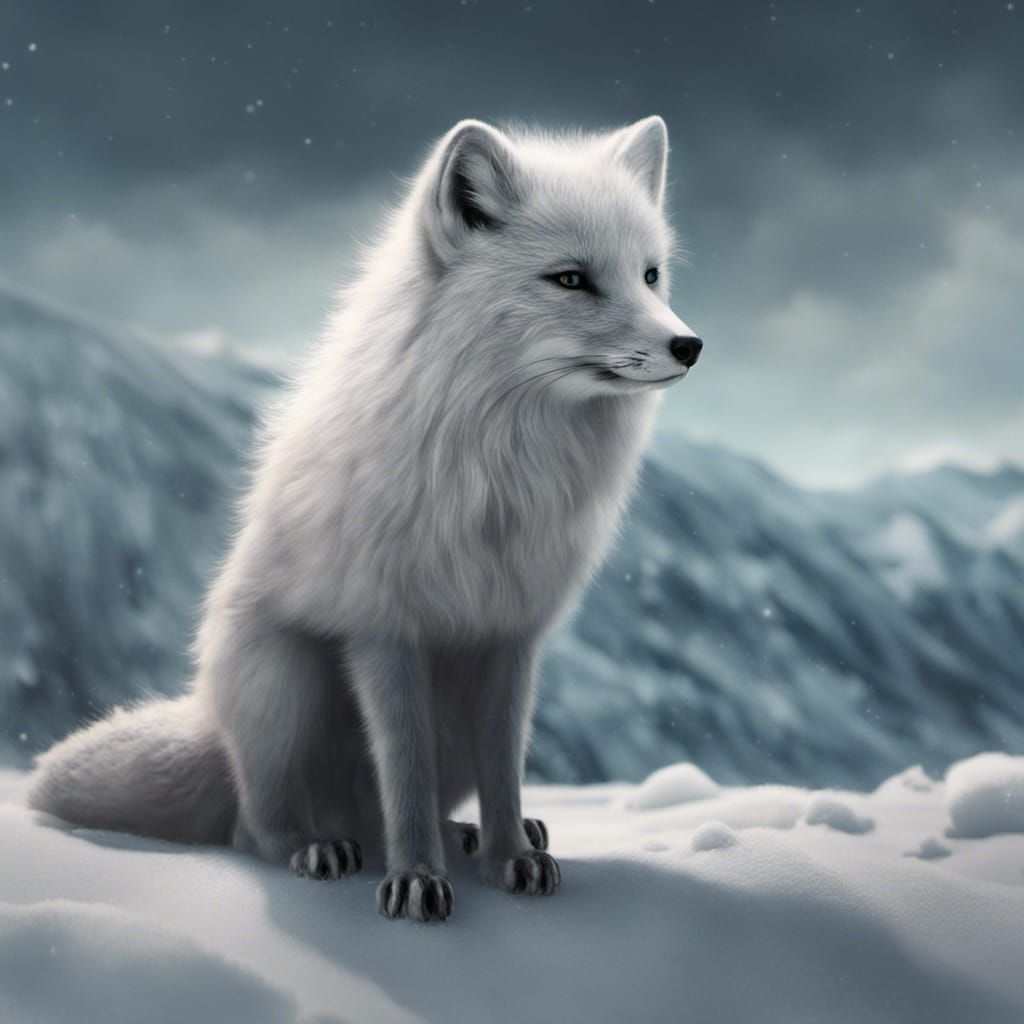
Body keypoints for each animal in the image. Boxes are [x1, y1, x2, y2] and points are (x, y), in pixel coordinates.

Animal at [28, 115, 702, 922]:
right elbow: (402, 770)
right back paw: (318, 849)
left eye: (650, 275)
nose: (689, 346)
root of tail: (212, 723)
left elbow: (504, 770)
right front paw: (416, 881)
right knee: (258, 824)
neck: (501, 466)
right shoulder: (383, 629)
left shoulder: (511, 637)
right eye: (571, 279)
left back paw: (470, 837)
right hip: (288, 685)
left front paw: (510, 855)